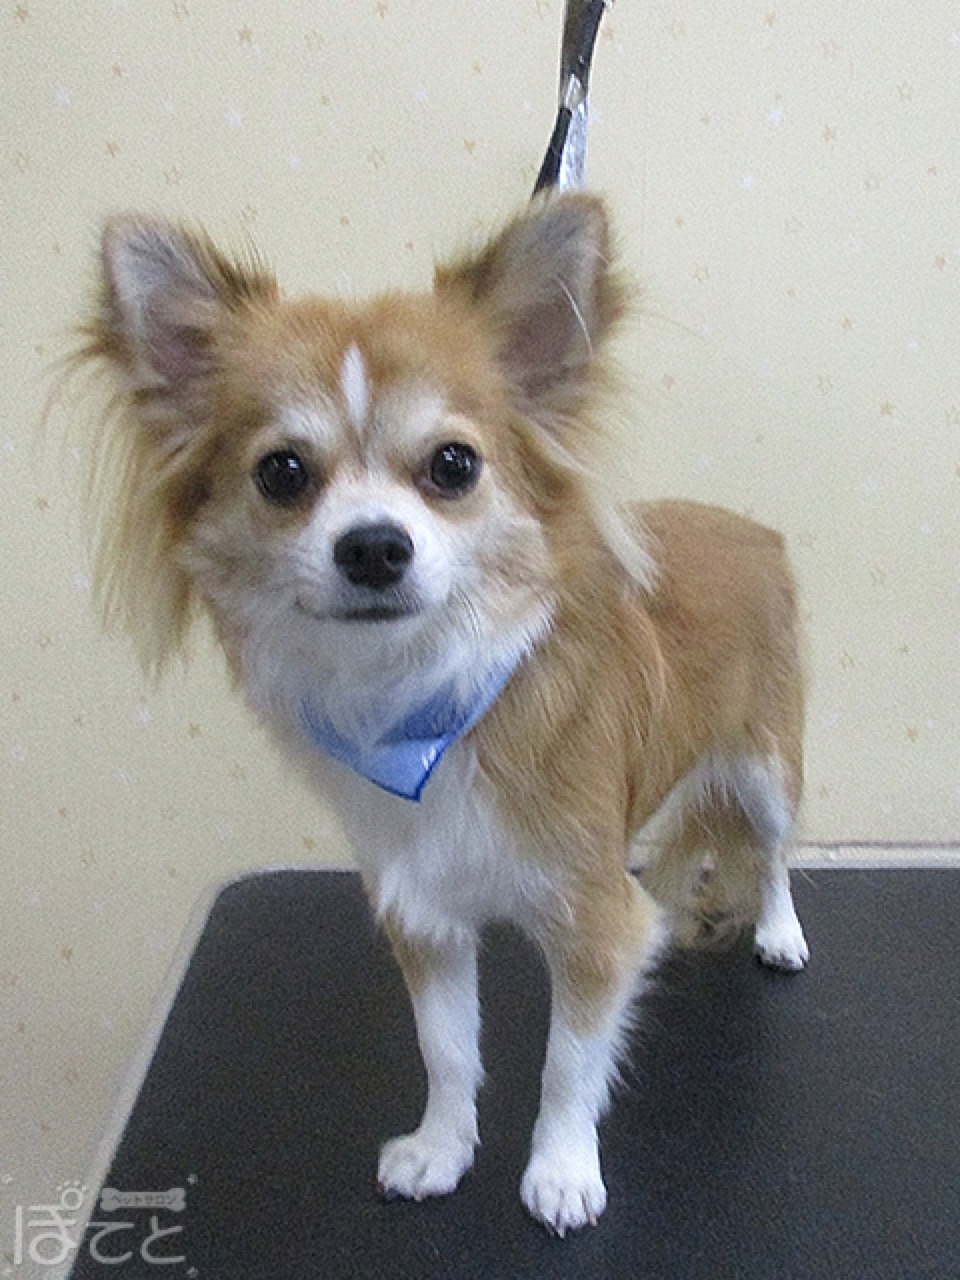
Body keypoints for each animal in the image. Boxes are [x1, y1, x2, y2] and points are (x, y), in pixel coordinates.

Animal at [79, 193, 808, 1236]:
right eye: (282, 473)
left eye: (454, 465)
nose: (373, 546)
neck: (425, 701)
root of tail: (751, 530)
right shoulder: (421, 912)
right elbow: (449, 1050)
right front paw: (442, 1147)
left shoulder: (594, 918)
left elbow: (567, 1065)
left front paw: (560, 1170)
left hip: (766, 765)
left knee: (776, 849)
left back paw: (781, 931)